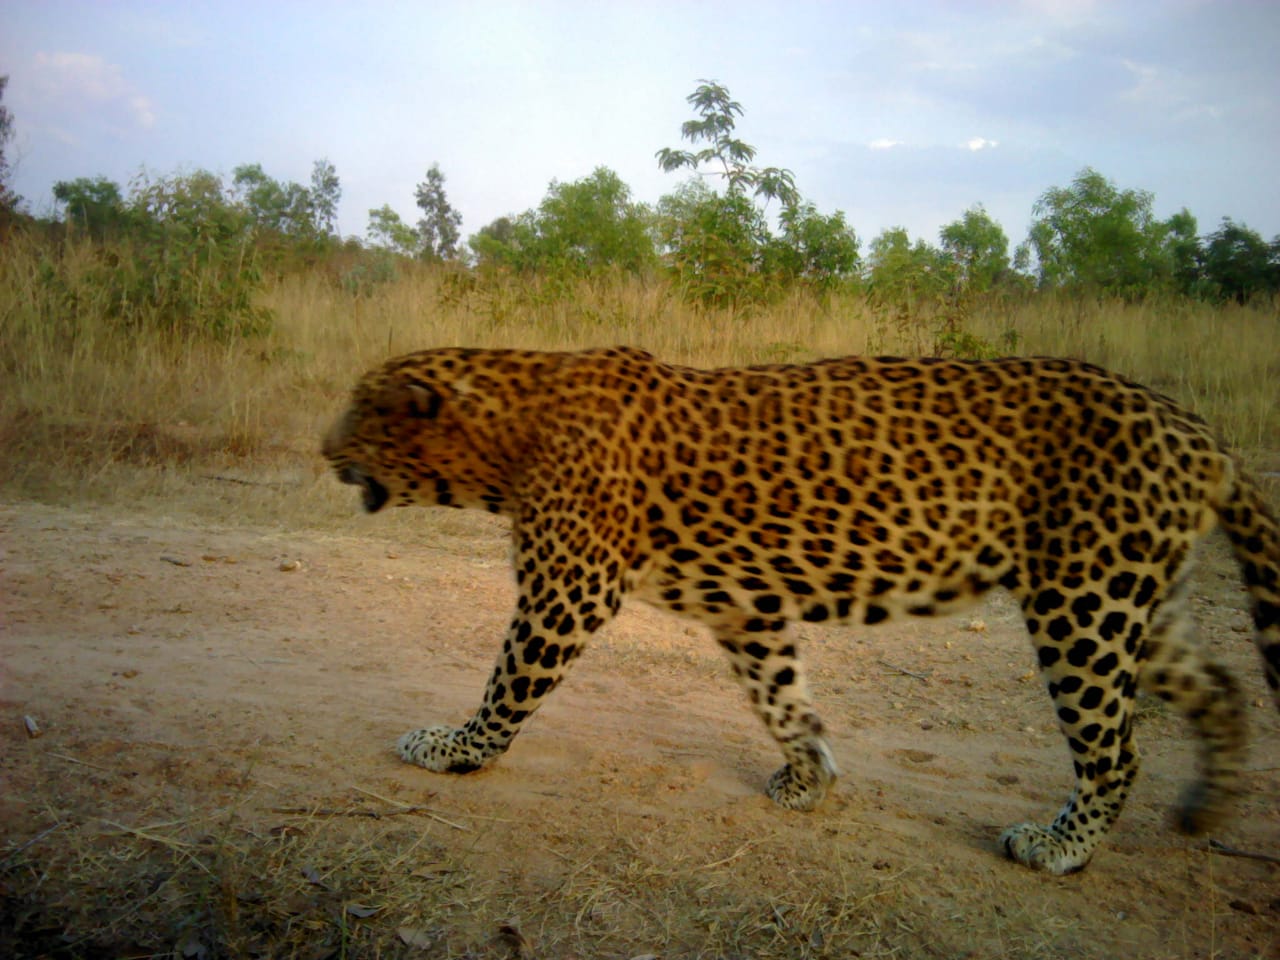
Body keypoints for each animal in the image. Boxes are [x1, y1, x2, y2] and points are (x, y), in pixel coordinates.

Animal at [322, 345, 1280, 880]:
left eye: (359, 413)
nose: (320, 446)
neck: (507, 435)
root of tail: (1200, 431)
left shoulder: (569, 588)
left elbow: (505, 686)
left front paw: (451, 749)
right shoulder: (743, 606)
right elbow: (782, 698)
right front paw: (809, 776)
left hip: (1083, 600)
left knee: (1116, 748)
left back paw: (1061, 847)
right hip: (1141, 600)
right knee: (1221, 688)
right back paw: (1208, 809)